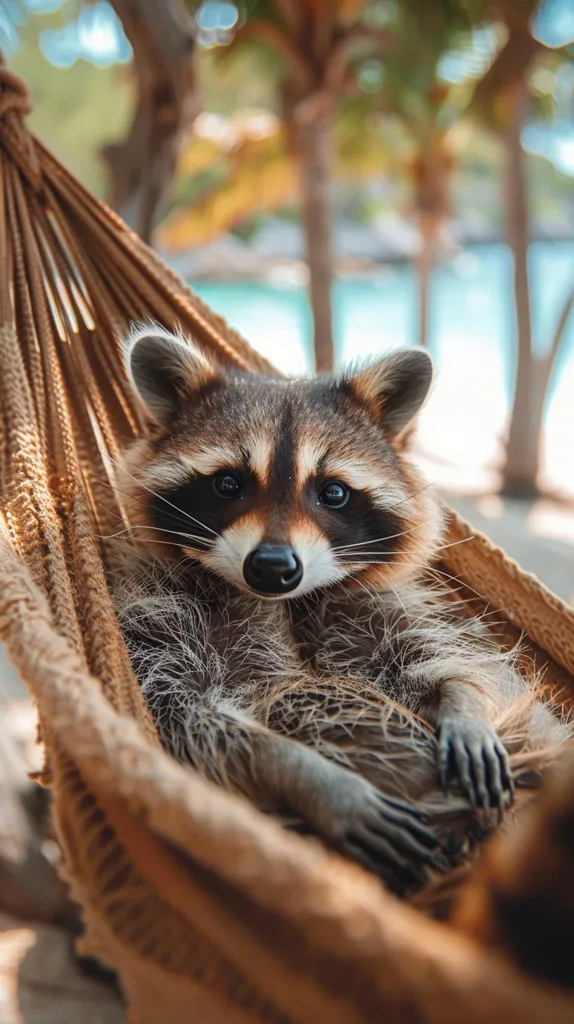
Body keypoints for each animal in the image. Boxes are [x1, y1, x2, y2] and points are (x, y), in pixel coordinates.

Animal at [108, 325, 569, 894]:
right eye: (228, 484)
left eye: (333, 492)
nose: (273, 567)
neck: (283, 603)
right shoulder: (156, 615)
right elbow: (189, 719)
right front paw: (307, 775)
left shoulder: (386, 606)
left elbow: (442, 660)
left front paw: (465, 706)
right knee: (296, 697)